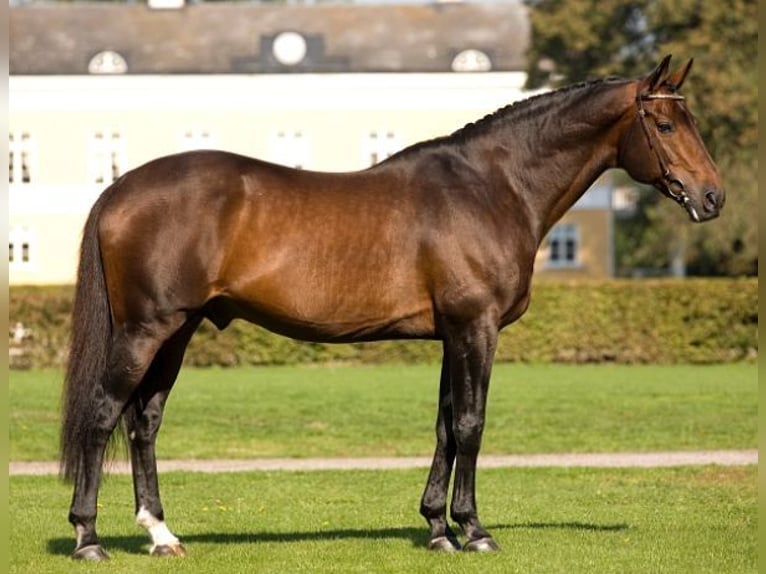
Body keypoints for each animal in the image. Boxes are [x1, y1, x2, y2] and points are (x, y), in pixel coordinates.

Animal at [60, 55, 728, 564]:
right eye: (665, 124)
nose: (713, 197)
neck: (492, 187)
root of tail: (118, 188)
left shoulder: (453, 334)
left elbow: (445, 427)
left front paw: (437, 528)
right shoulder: (476, 329)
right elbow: (471, 425)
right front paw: (475, 531)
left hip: (177, 331)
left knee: (143, 422)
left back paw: (160, 534)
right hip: (146, 331)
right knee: (101, 415)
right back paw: (89, 537)